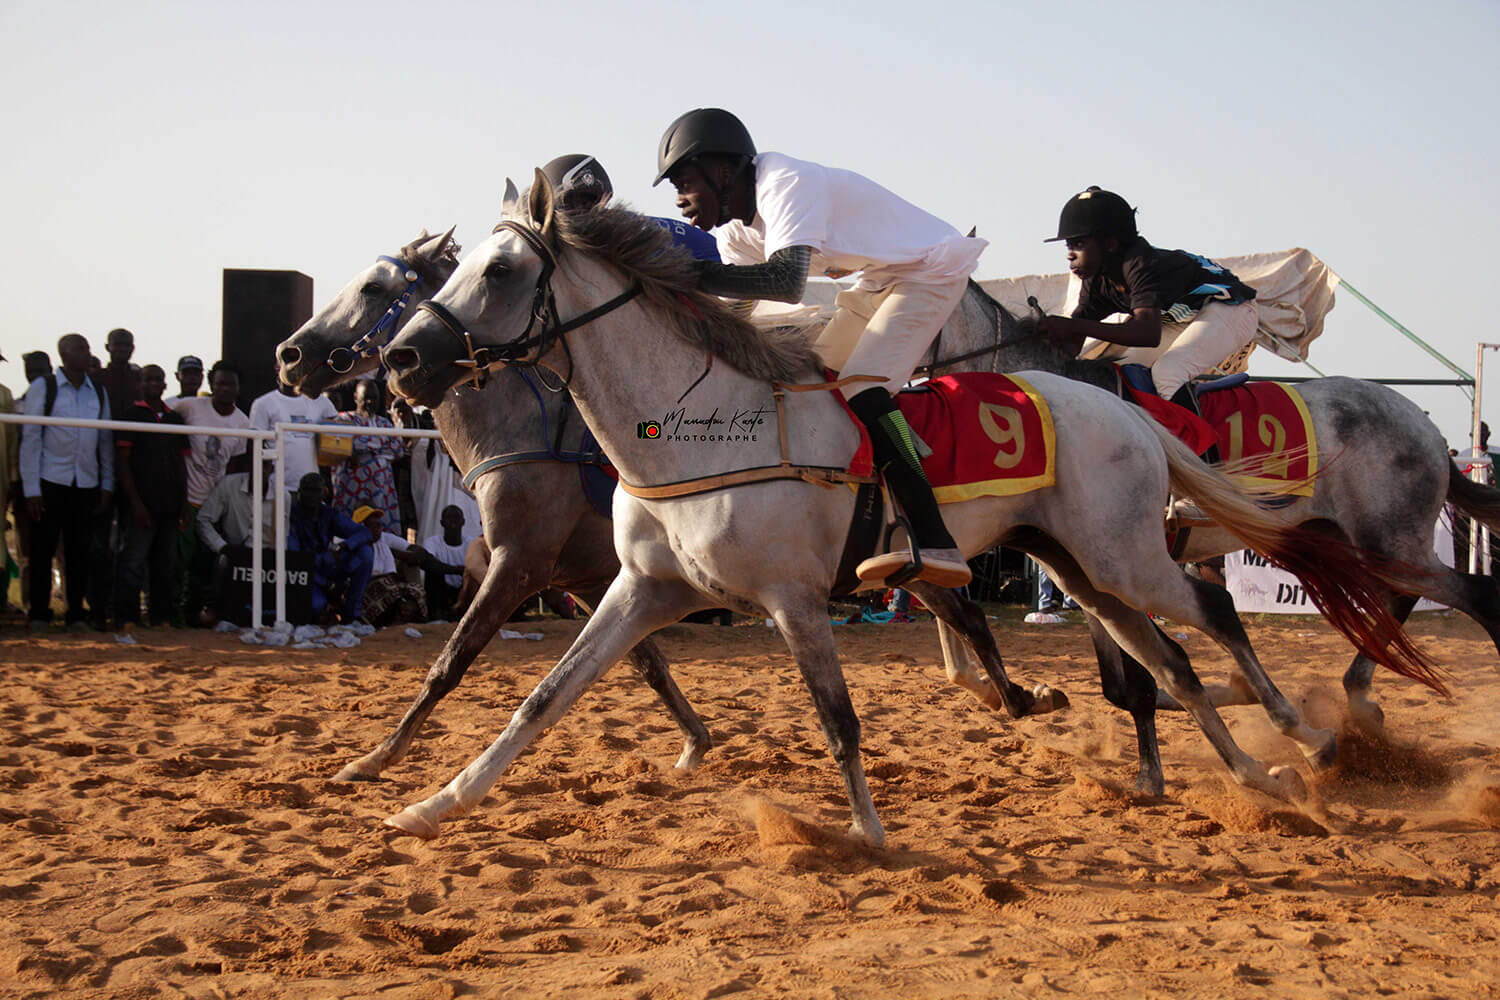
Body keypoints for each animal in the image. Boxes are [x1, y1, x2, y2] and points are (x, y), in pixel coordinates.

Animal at [375, 173, 1428, 845]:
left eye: (501, 273)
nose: (401, 359)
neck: (695, 423)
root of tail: (1123, 407)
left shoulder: (795, 599)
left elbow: (838, 718)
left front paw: (869, 832)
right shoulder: (642, 589)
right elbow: (542, 698)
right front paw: (432, 803)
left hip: (1125, 557)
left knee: (1207, 615)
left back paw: (1302, 737)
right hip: (1081, 567)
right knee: (1166, 659)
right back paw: (1255, 776)